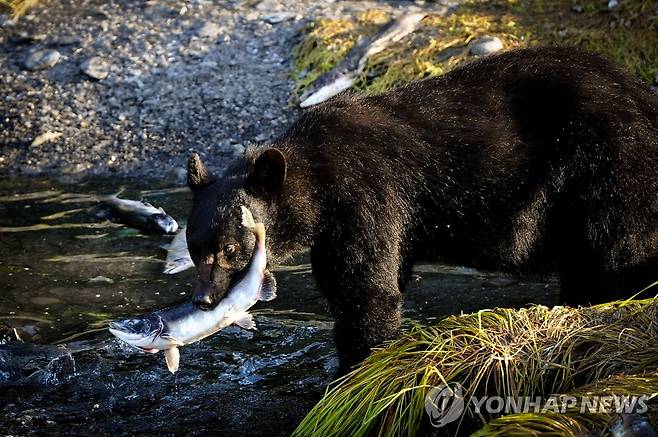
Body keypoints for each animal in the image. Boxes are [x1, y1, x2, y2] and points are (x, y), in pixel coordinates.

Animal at [184, 46, 656, 370]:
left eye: (230, 249)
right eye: (194, 249)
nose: (205, 300)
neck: (318, 178)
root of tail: (642, 97)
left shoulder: (365, 197)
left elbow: (366, 290)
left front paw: (353, 367)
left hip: (605, 167)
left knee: (615, 250)